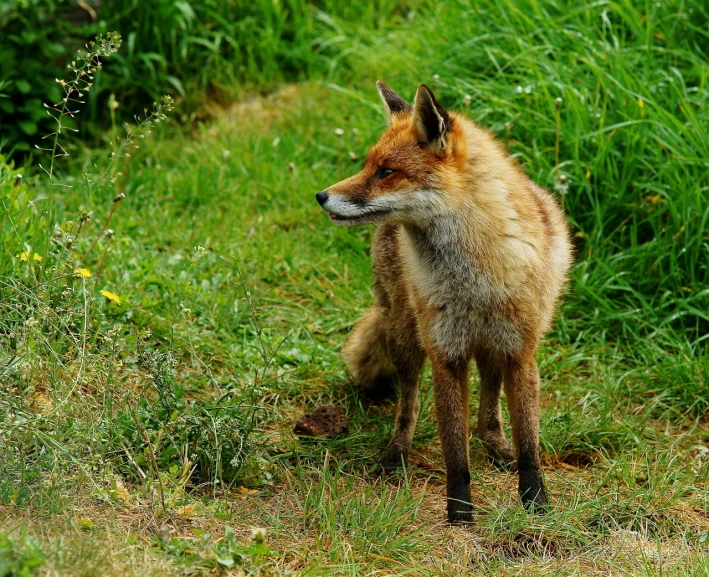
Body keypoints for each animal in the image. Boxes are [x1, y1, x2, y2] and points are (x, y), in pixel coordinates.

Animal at [316, 82, 568, 520]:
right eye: (367, 166)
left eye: (386, 171)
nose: (321, 196)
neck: (474, 278)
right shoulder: (445, 354)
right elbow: (454, 448)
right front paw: (460, 512)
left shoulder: (520, 351)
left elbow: (529, 442)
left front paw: (535, 501)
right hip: (407, 336)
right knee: (408, 403)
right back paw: (396, 453)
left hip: (490, 342)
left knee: (489, 403)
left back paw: (495, 444)